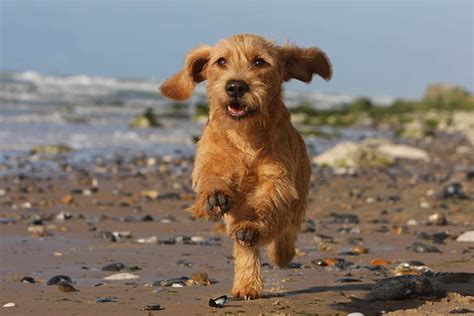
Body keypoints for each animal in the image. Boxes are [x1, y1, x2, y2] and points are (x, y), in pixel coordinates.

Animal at [161, 34, 332, 298]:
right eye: (221, 61)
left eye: (260, 62)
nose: (236, 86)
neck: (245, 137)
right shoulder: (210, 162)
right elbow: (211, 178)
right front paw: (214, 197)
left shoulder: (278, 179)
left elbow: (267, 203)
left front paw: (252, 225)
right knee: (246, 250)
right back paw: (246, 285)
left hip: (298, 202)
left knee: (285, 233)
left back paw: (279, 254)